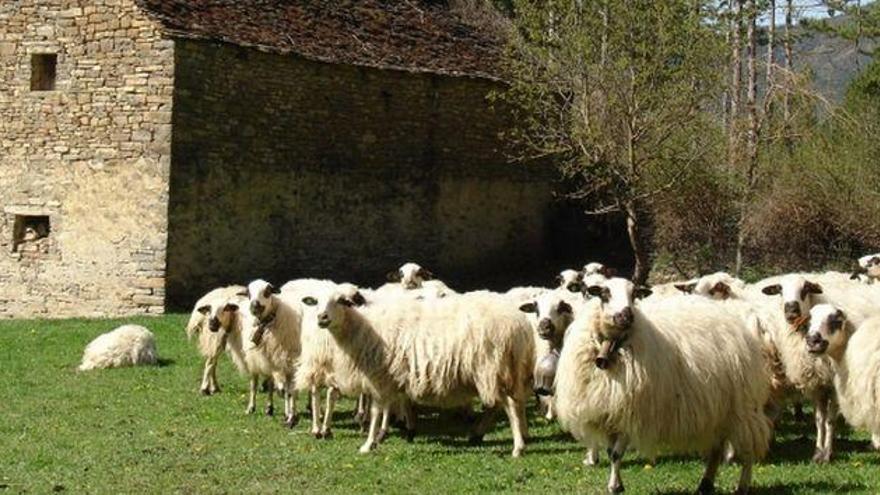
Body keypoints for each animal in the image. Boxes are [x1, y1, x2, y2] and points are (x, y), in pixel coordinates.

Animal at [302, 290, 536, 458]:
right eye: (317, 301)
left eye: (342, 301)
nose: (322, 317)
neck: (362, 328)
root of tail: (520, 325)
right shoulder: (393, 375)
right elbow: (397, 404)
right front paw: (399, 432)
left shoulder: (379, 376)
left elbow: (377, 411)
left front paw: (368, 444)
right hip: (502, 371)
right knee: (506, 404)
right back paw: (483, 435)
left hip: (493, 368)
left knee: (510, 405)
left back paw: (518, 447)